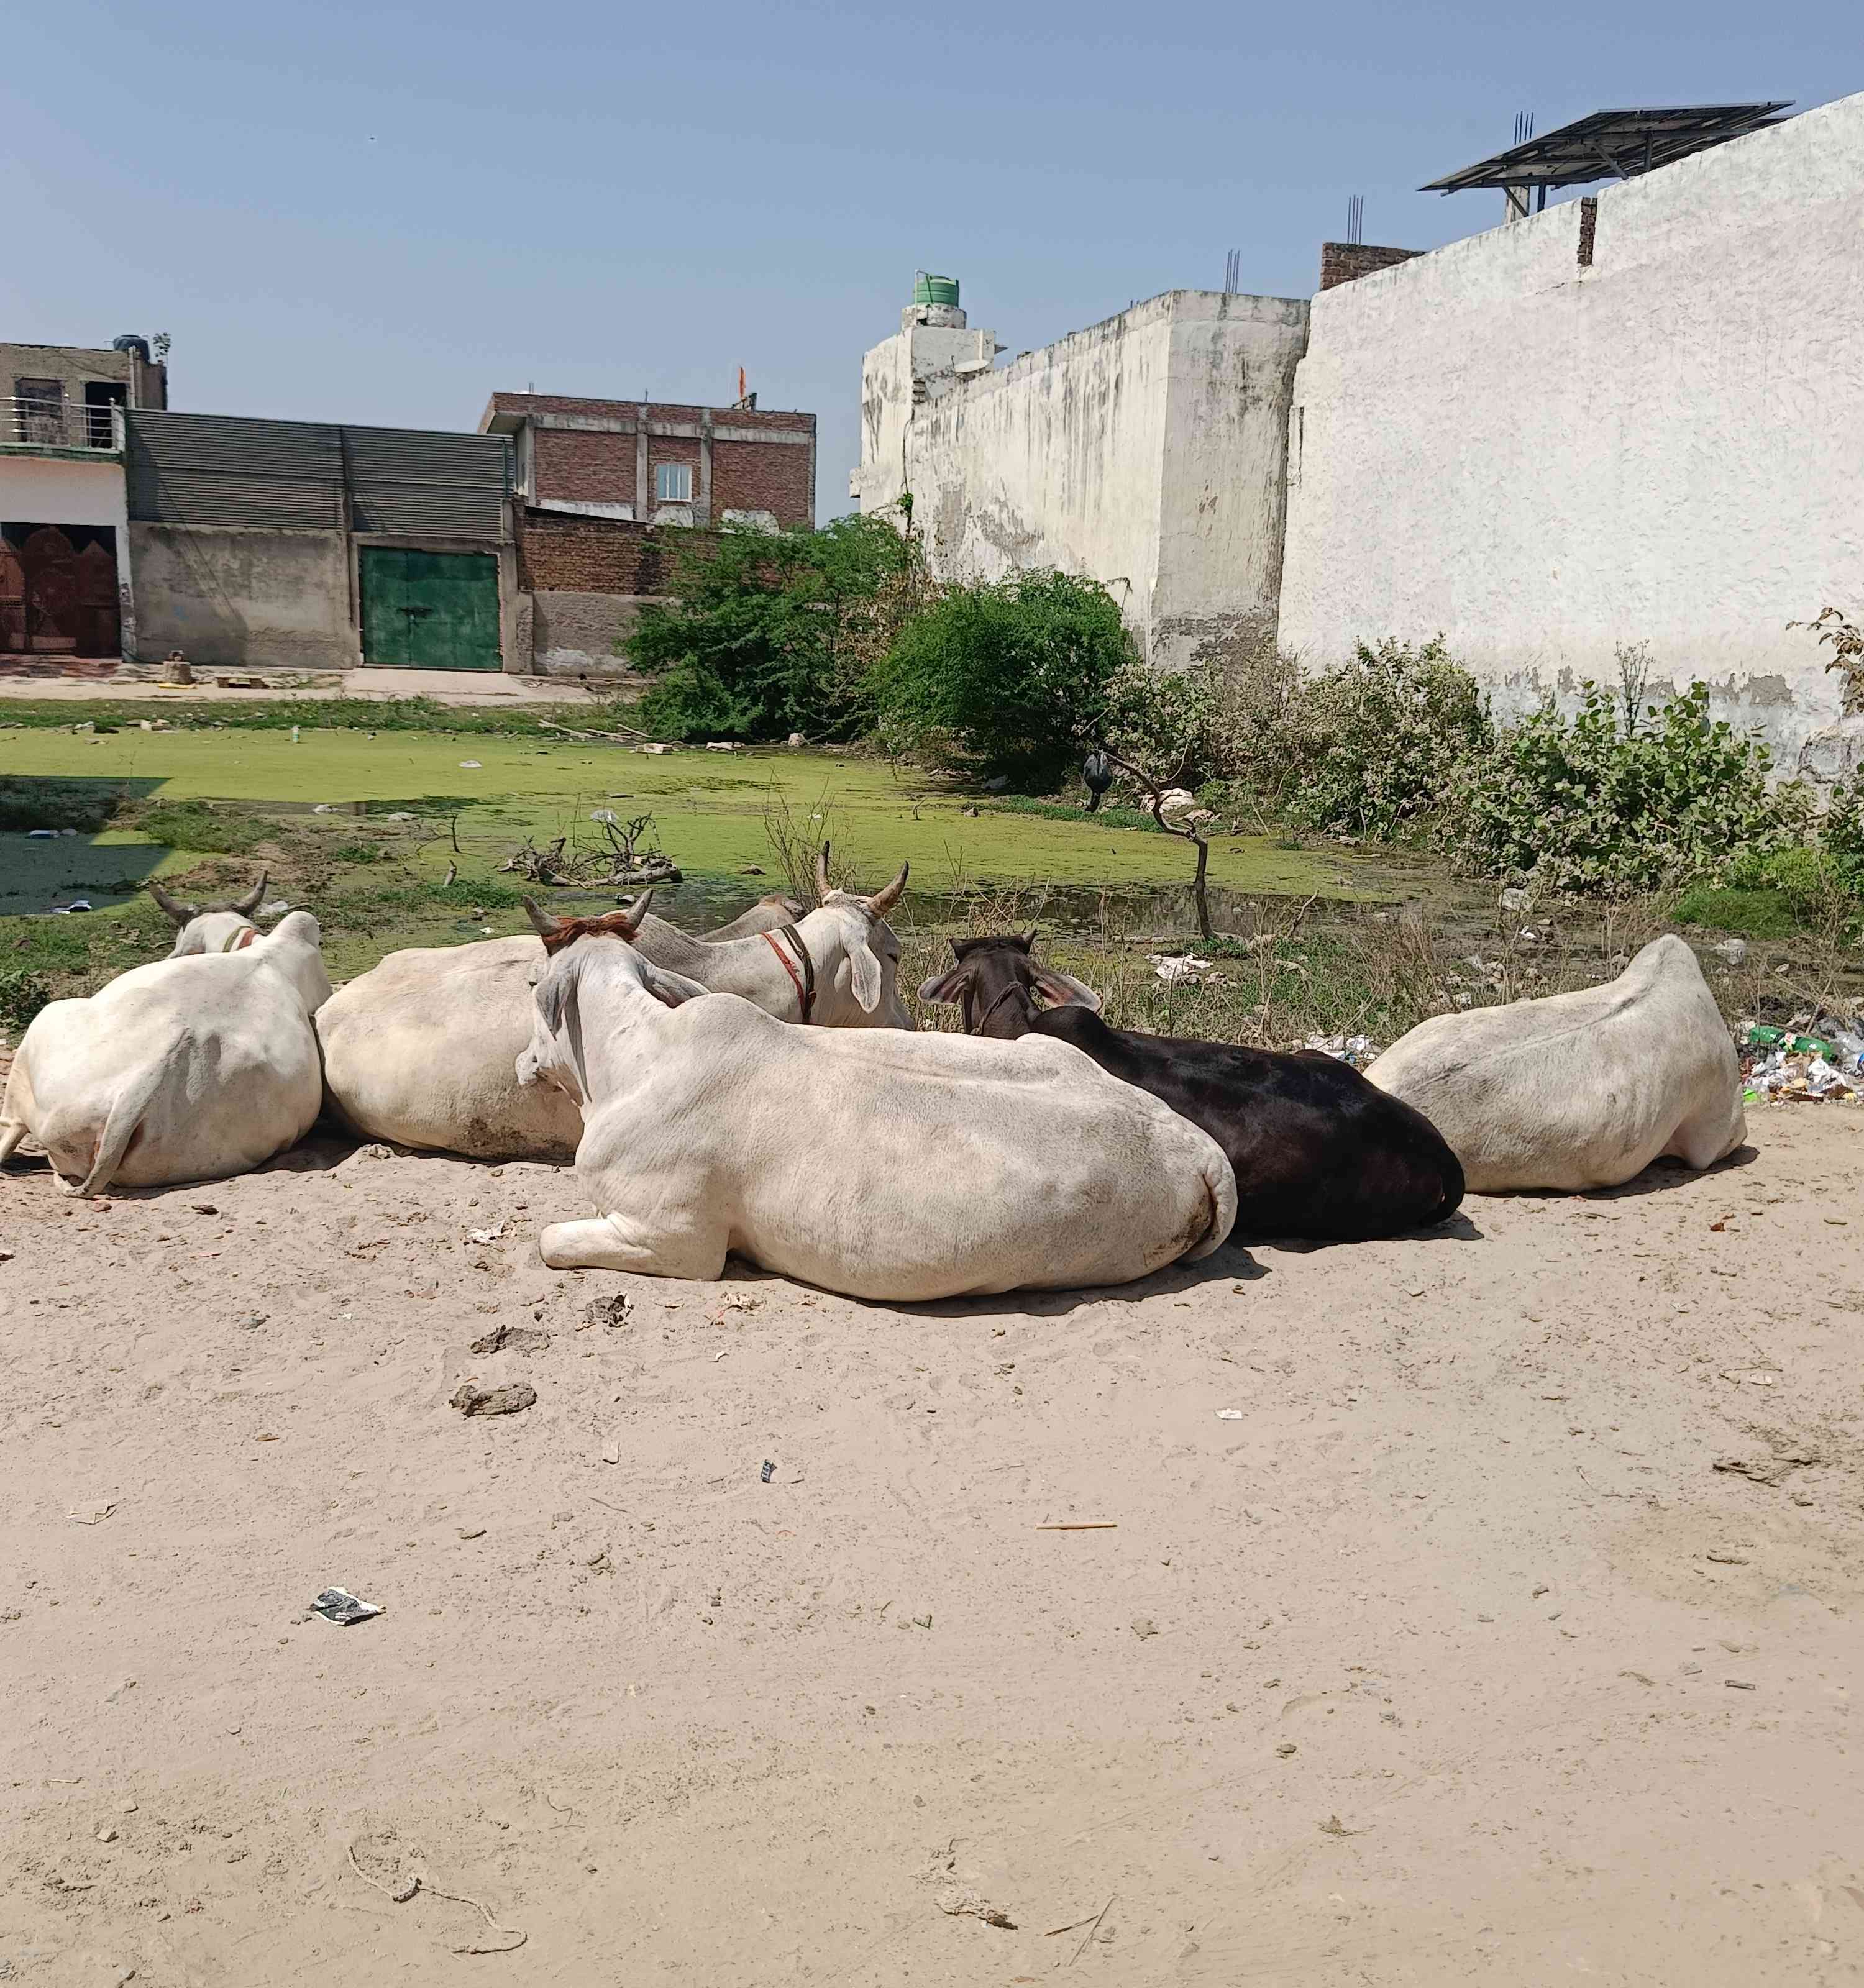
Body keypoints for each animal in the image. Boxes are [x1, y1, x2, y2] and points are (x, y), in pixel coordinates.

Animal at [518, 898, 1237, 1300]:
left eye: (535, 988)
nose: (524, 1062)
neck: (635, 1058)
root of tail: (1194, 1144)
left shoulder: (676, 1240)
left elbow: (550, 1240)